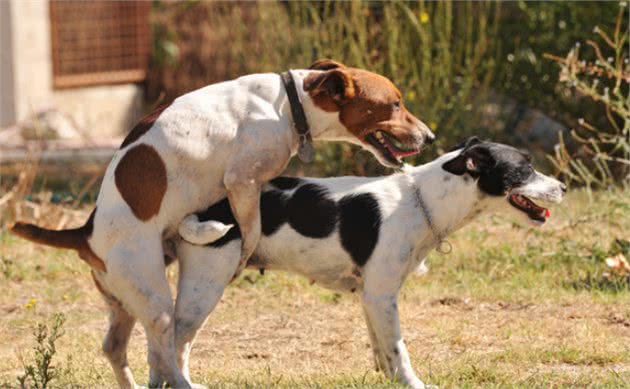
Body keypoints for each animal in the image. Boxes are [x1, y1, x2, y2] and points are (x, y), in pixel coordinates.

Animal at [11, 59, 434, 386]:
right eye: (394, 104)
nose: (430, 137)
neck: (288, 103)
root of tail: (86, 234)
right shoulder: (242, 182)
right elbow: (251, 230)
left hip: (124, 303)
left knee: (116, 348)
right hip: (154, 300)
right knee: (164, 351)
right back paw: (183, 383)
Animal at [170, 138, 564, 386]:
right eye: (525, 169)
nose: (563, 187)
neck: (421, 202)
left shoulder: (372, 297)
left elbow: (382, 348)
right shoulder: (381, 295)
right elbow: (399, 349)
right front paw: (414, 383)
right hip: (203, 288)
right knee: (173, 342)